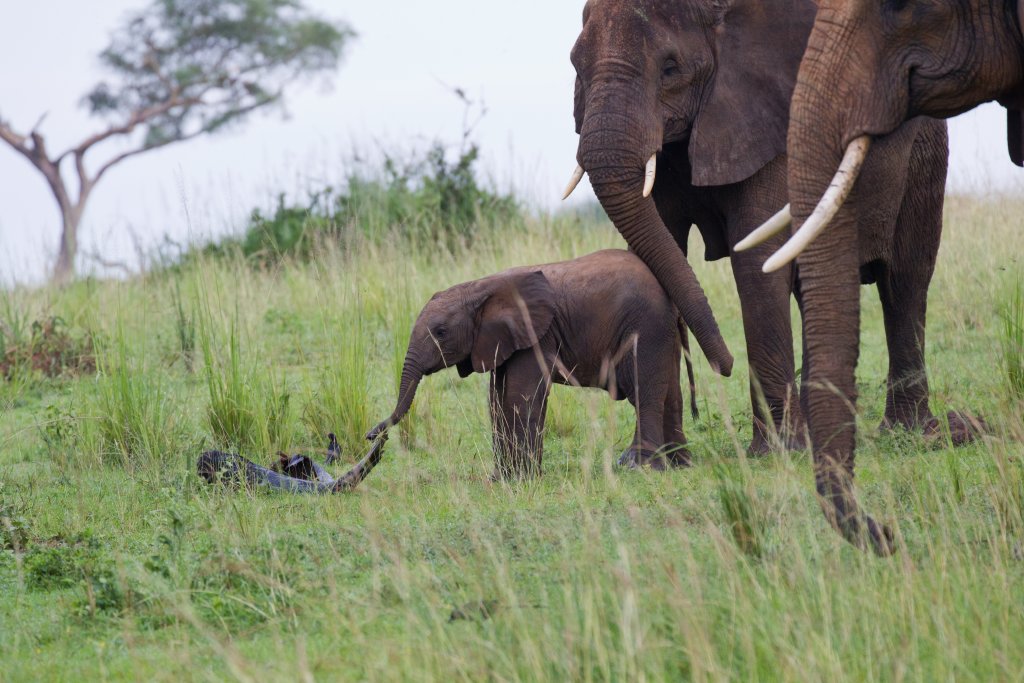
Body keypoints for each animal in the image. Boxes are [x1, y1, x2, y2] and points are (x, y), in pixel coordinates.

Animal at [367, 249, 703, 478]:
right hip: (661, 332)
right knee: (670, 394)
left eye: (440, 332)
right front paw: (502, 478)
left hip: (646, 326)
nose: (373, 437)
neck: (479, 288)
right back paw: (679, 465)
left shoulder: (535, 334)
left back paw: (645, 469)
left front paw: (522, 479)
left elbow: (521, 396)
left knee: (645, 392)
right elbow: (497, 400)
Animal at [565, 0, 956, 476]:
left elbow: (755, 261)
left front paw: (777, 453)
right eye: (576, 66)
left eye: (671, 68)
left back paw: (907, 433)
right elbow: (654, 257)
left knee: (904, 282)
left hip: (924, 153)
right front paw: (654, 461)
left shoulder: (773, 124)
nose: (724, 366)